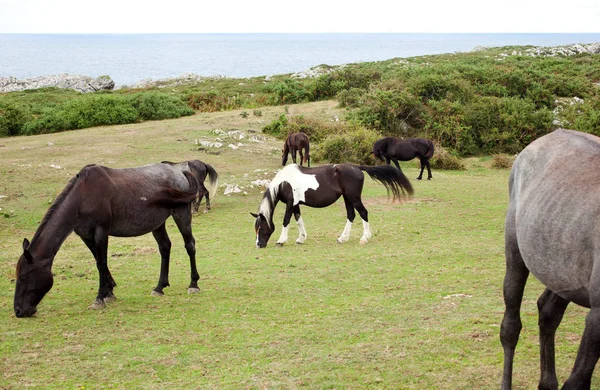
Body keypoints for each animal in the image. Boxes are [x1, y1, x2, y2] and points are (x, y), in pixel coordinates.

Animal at [13, 161, 202, 316]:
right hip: (158, 223)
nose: (19, 311)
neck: (81, 198)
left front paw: (100, 297)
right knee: (165, 247)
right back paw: (159, 287)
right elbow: (99, 260)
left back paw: (193, 284)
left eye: (24, 277)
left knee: (189, 245)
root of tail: (178, 171)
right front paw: (109, 292)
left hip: (181, 214)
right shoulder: (86, 235)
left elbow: (101, 263)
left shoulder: (101, 231)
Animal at [250, 163, 412, 248]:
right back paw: (342, 238)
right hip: (347, 198)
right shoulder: (295, 204)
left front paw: (281, 241)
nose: (259, 244)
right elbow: (298, 219)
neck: (284, 182)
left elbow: (286, 221)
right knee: (351, 215)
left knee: (363, 213)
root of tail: (357, 167)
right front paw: (301, 239)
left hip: (353, 198)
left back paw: (364, 238)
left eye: (261, 228)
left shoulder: (290, 203)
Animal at [500, 129, 600, 390]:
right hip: (516, 255)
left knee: (548, 313)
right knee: (510, 328)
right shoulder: (597, 318)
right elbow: (576, 383)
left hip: (560, 274)